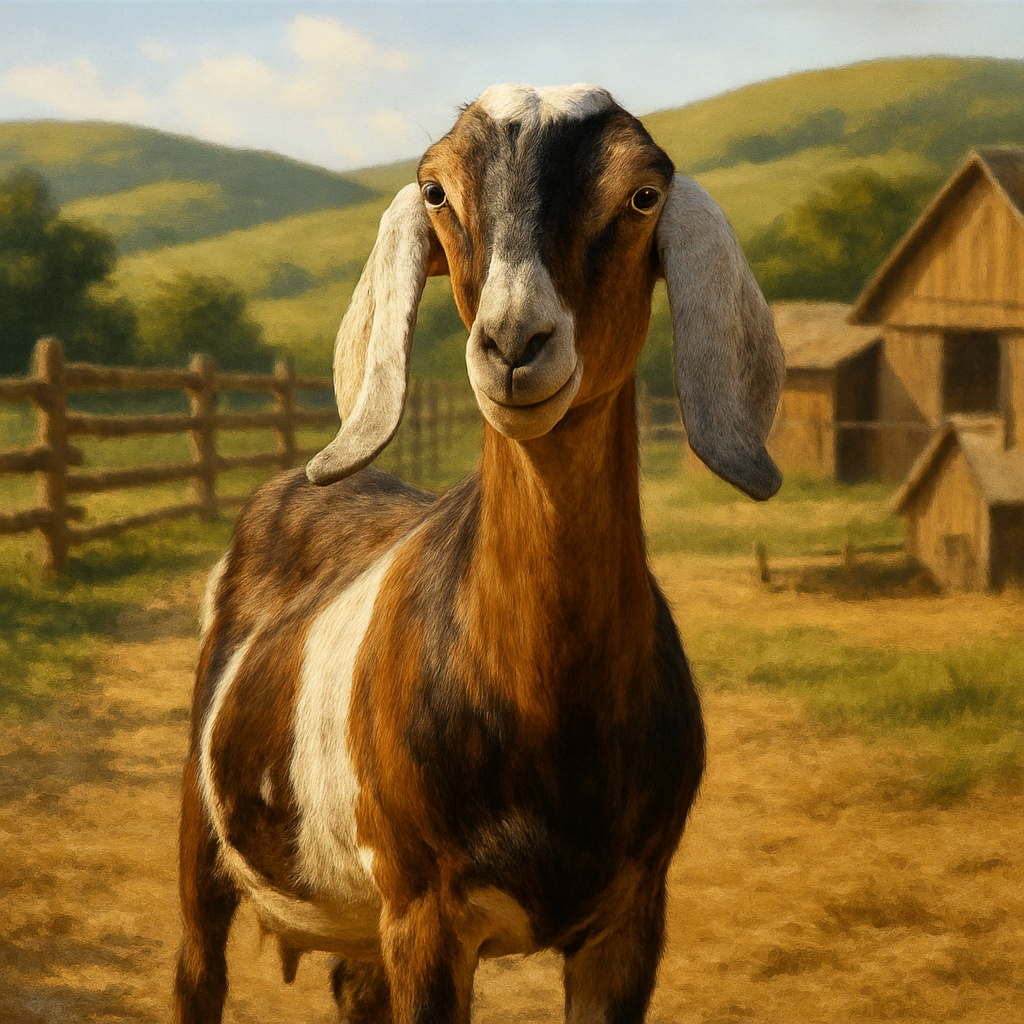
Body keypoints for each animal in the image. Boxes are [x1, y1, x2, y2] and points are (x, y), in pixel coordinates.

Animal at [175, 83, 784, 1024]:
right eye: (435, 191)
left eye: (643, 195)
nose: (513, 344)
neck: (544, 707)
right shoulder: (425, 914)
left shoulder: (631, 919)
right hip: (204, 843)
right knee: (196, 968)